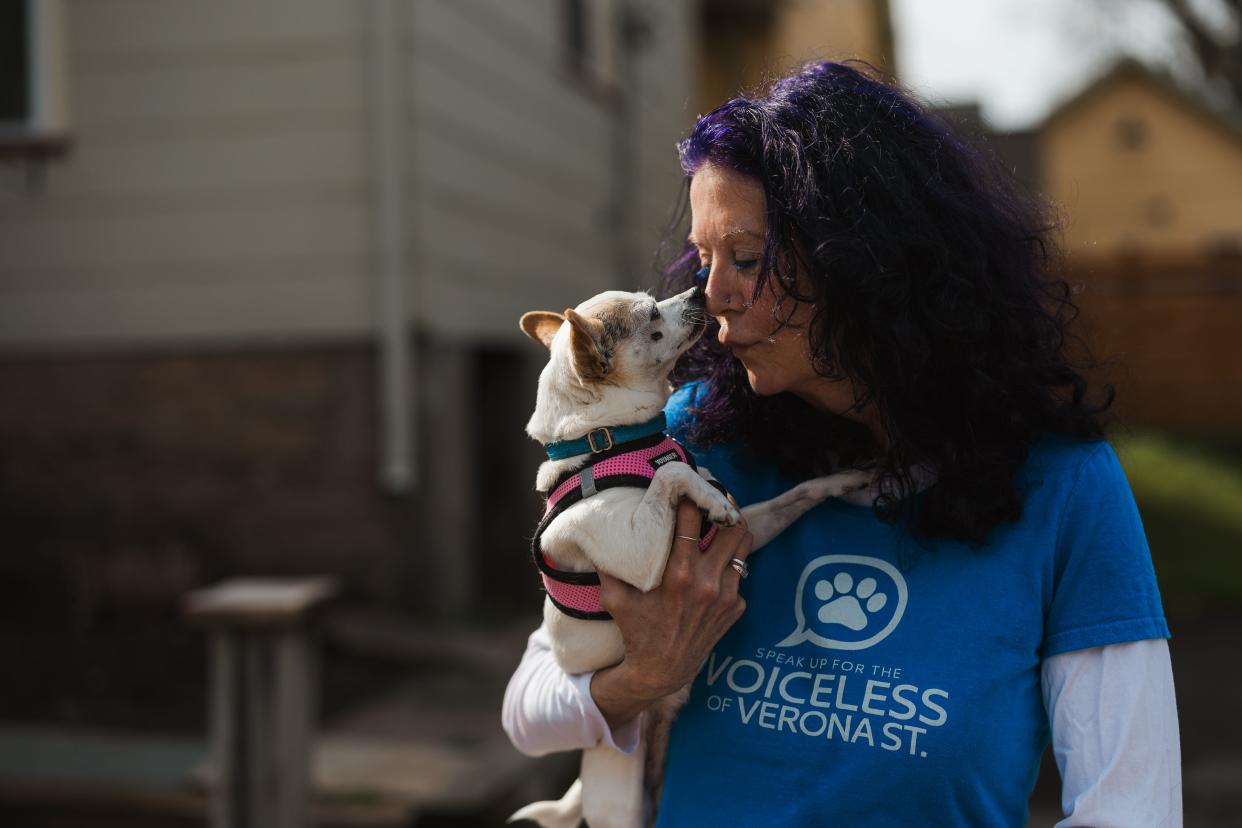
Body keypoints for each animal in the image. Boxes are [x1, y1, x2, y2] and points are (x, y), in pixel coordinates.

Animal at [509, 286, 869, 828]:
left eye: (652, 298)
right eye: (652, 315)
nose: (700, 290)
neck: (609, 443)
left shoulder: (752, 527)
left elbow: (798, 494)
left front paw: (851, 481)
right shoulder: (640, 555)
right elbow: (670, 475)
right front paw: (708, 496)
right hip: (623, 801)